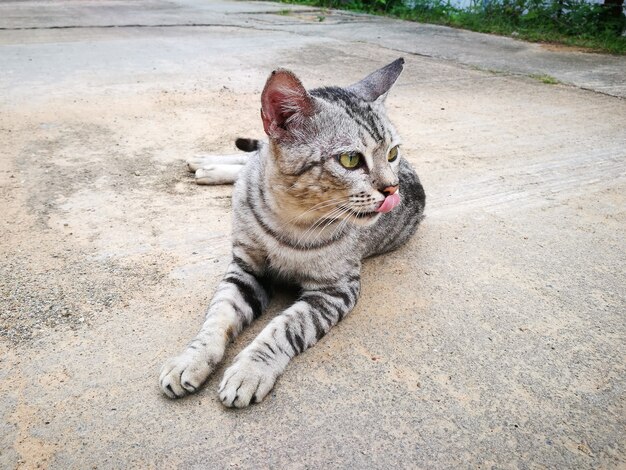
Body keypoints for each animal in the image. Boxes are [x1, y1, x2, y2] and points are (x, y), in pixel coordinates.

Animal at [158, 57, 426, 408]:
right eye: (350, 159)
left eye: (392, 154)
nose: (392, 189)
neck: (288, 219)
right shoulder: (244, 267)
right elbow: (217, 316)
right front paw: (191, 358)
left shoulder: (334, 290)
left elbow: (284, 327)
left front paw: (250, 369)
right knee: (252, 156)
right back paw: (207, 163)